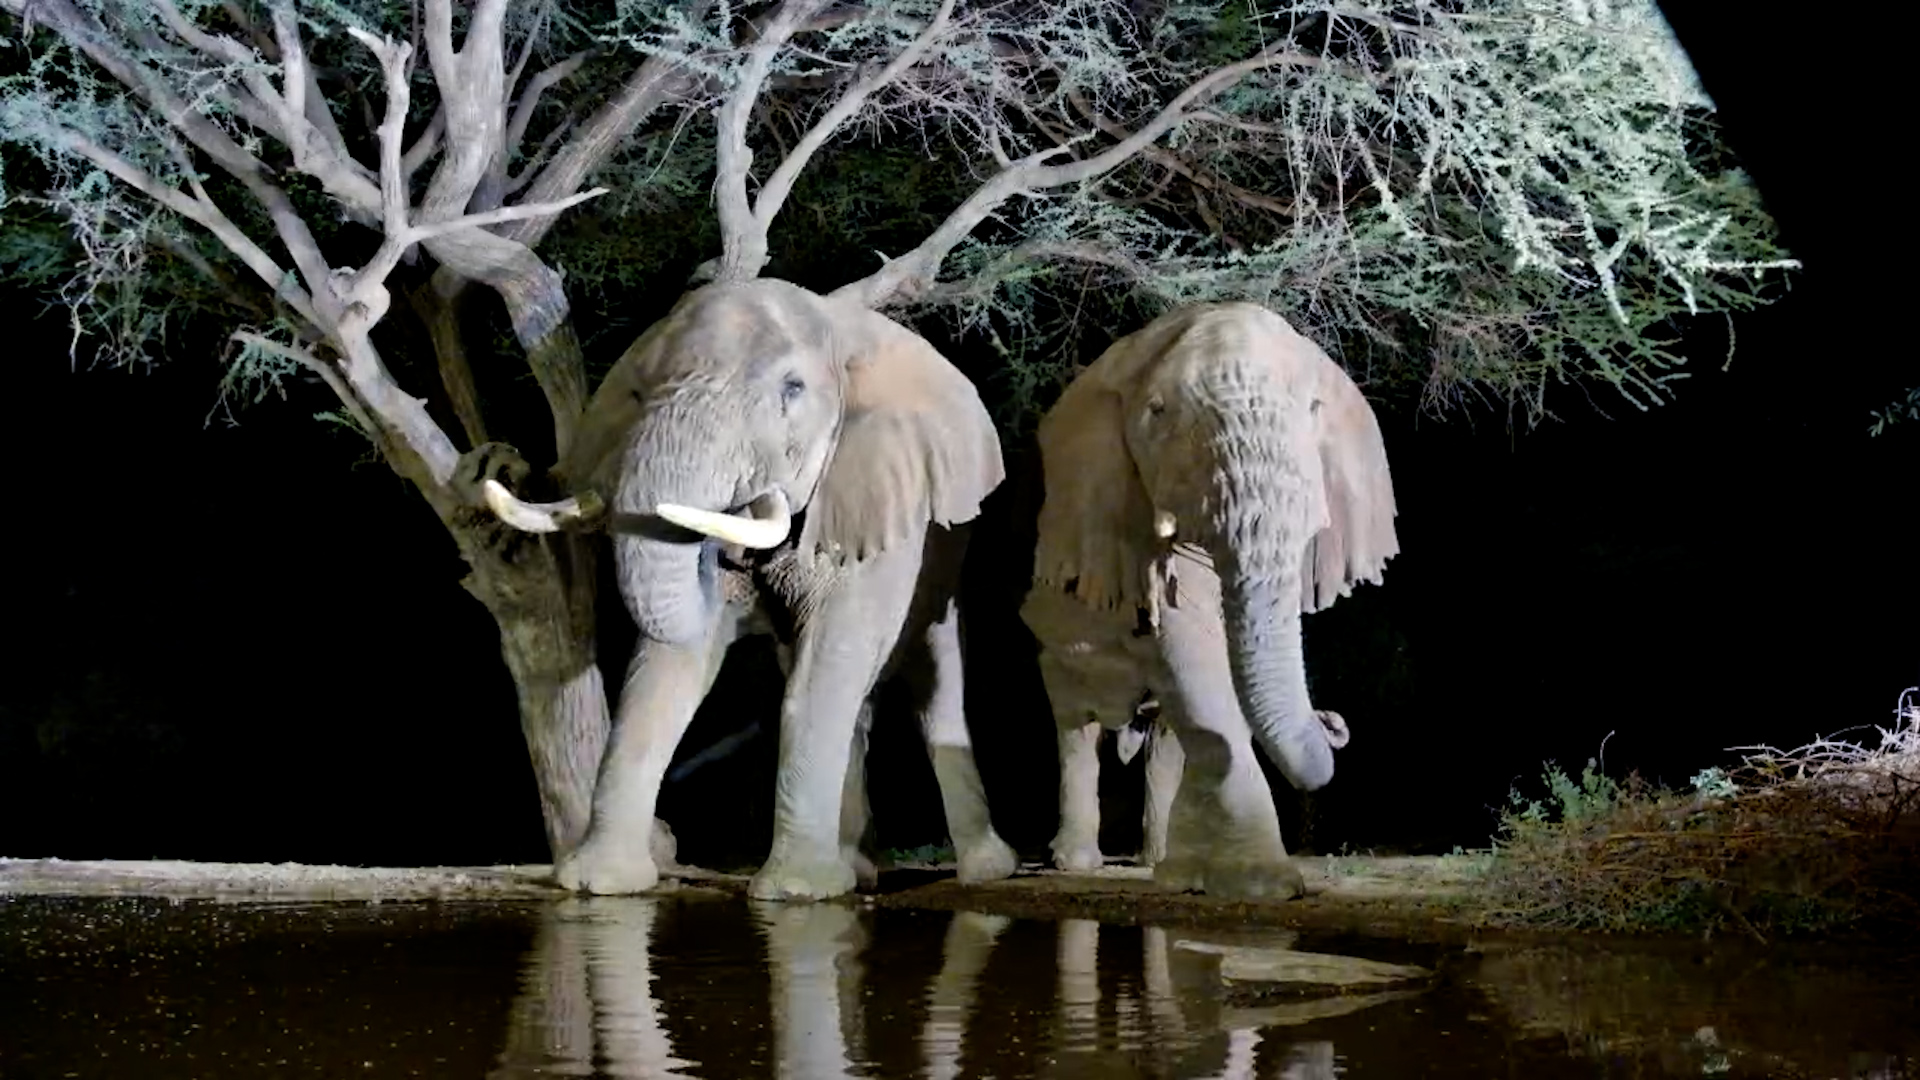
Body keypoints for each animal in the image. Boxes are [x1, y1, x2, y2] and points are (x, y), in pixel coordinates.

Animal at [482, 277, 1019, 900]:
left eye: (793, 389)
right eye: (637, 393)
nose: (500, 467)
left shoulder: (882, 491)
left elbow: (832, 658)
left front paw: (795, 892)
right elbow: (665, 667)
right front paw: (599, 883)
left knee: (934, 677)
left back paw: (983, 870)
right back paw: (855, 869)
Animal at [1020, 301, 1398, 899]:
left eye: (1314, 409)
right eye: (1156, 413)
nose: (1333, 723)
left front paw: (1192, 876)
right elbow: (1193, 653)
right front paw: (1261, 886)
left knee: (1159, 739)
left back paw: (1154, 860)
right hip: (1050, 638)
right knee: (1076, 723)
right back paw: (1075, 862)